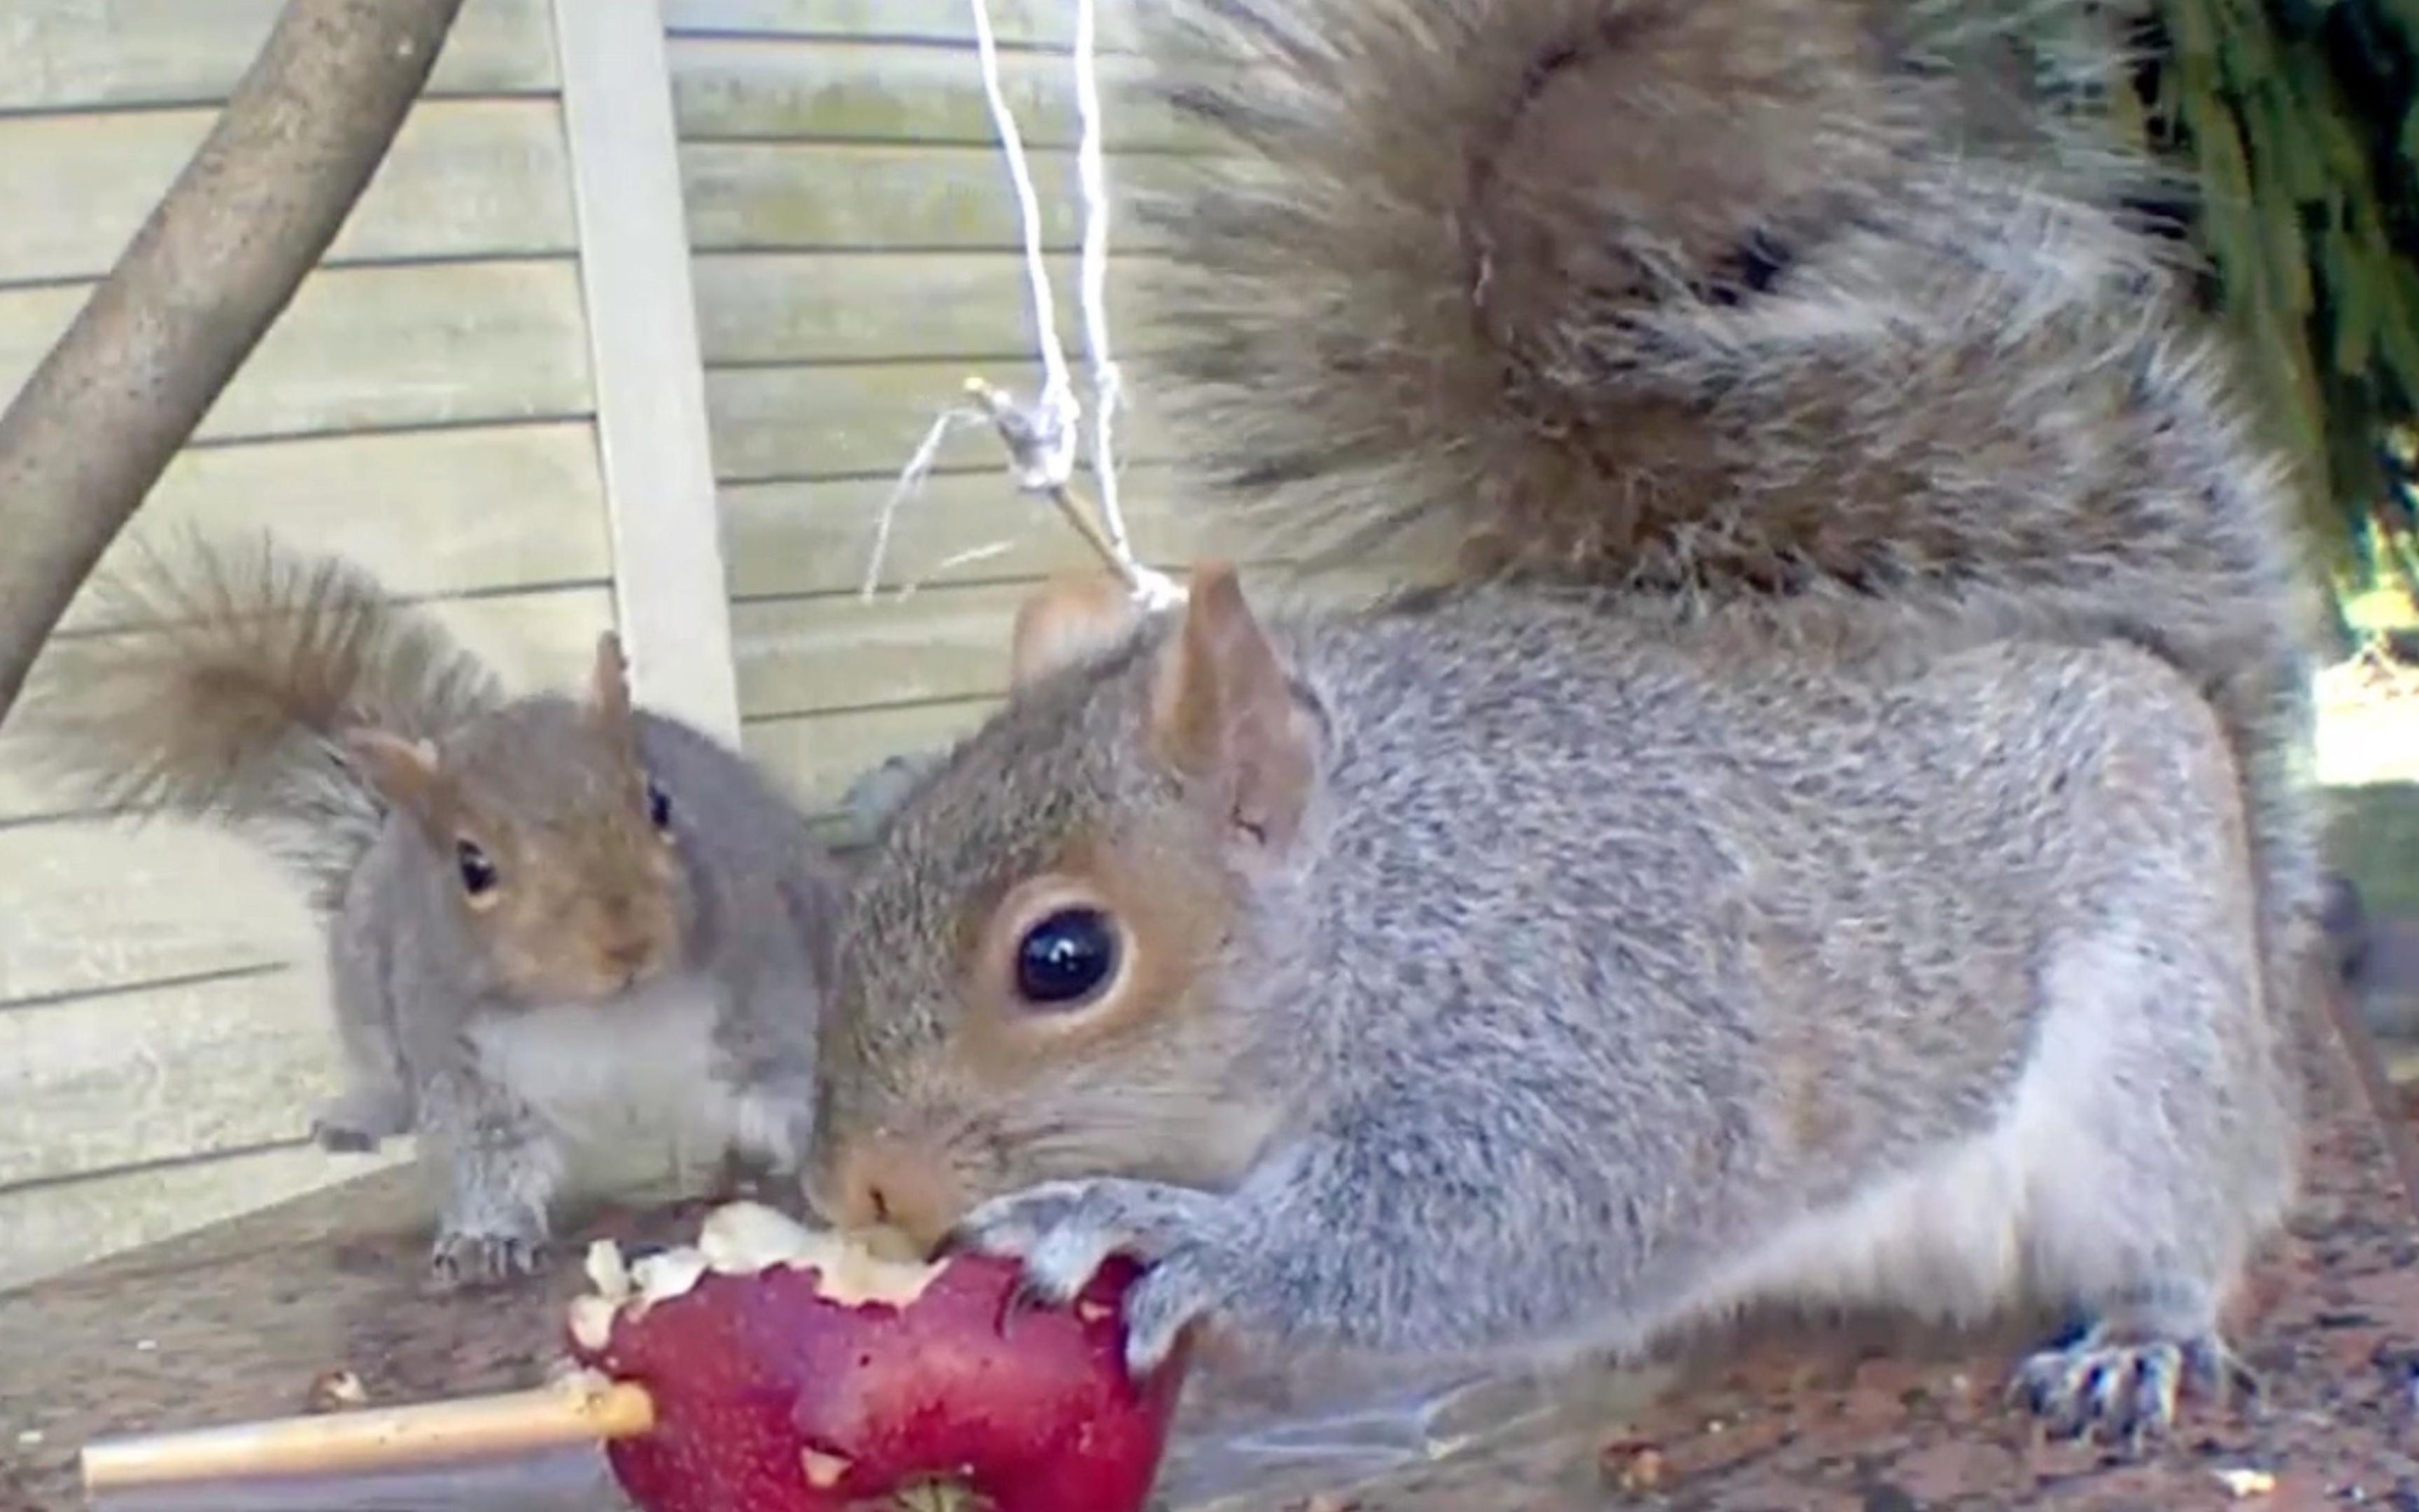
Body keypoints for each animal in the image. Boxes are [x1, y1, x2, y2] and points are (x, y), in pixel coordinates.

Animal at [19, 530, 846, 1287]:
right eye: (471, 866)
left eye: (659, 802)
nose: (626, 941)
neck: (603, 1013)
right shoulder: (457, 1052)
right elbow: (479, 1146)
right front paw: (485, 1239)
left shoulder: (758, 987)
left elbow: (790, 1079)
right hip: (363, 970)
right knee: (386, 1074)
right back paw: (361, 1115)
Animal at [803, 0, 2332, 1451]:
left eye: (1063, 959)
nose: (856, 1189)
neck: (1382, 885)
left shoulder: (1588, 1025)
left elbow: (1490, 1230)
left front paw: (1152, 1223)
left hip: (2153, 1058)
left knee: (2181, 1221)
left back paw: (2139, 1335)